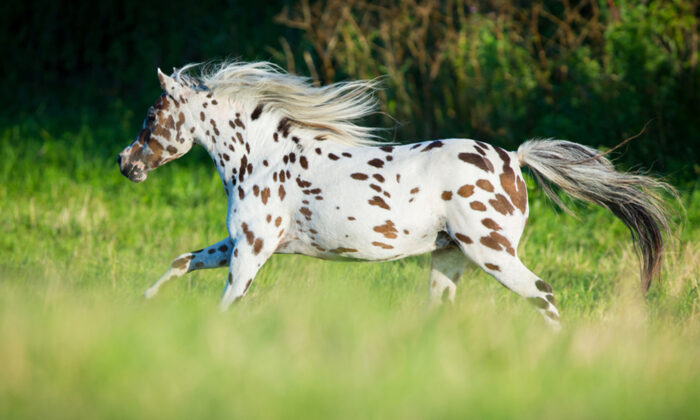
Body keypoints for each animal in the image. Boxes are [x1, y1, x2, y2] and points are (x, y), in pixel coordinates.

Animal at [117, 60, 676, 326]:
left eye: (152, 116)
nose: (126, 163)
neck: (264, 157)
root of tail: (515, 161)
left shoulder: (252, 252)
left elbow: (228, 303)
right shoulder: (238, 244)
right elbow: (181, 261)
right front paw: (138, 309)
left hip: (493, 254)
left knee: (543, 295)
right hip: (449, 259)